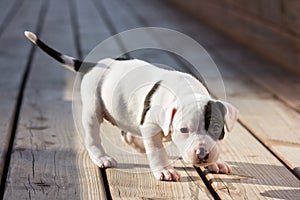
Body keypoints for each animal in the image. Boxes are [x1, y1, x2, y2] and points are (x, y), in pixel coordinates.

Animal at [24, 30, 238, 181]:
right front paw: (165, 170)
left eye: (217, 128)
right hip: (93, 109)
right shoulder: (150, 125)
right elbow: (157, 151)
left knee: (126, 133)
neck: (187, 92)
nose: (202, 154)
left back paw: (139, 144)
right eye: (184, 130)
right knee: (92, 137)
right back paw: (102, 157)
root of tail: (93, 64)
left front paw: (216, 162)